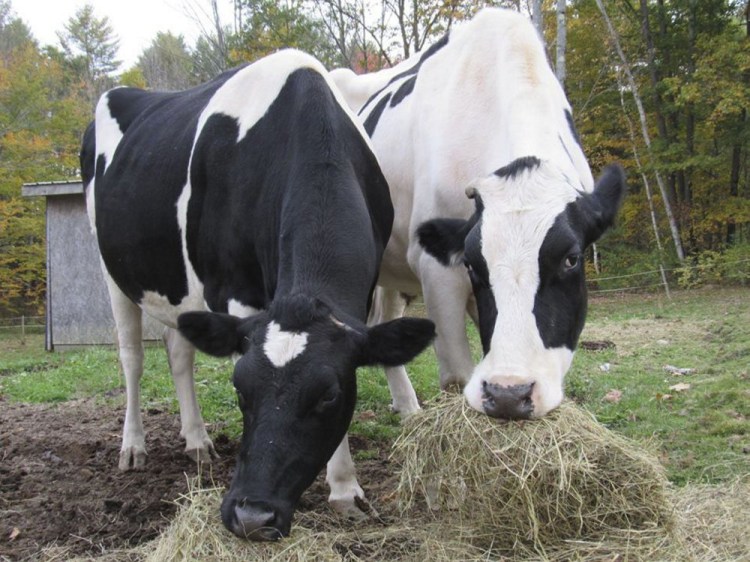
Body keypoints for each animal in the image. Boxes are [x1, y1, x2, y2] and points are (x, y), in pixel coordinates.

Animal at [80, 50, 434, 540]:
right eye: (239, 387)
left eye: (329, 395)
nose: (251, 516)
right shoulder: (233, 293)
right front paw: (343, 486)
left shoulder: (359, 299)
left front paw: (345, 489)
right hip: (112, 269)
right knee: (131, 358)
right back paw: (133, 447)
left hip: (179, 289)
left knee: (179, 352)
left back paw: (197, 440)